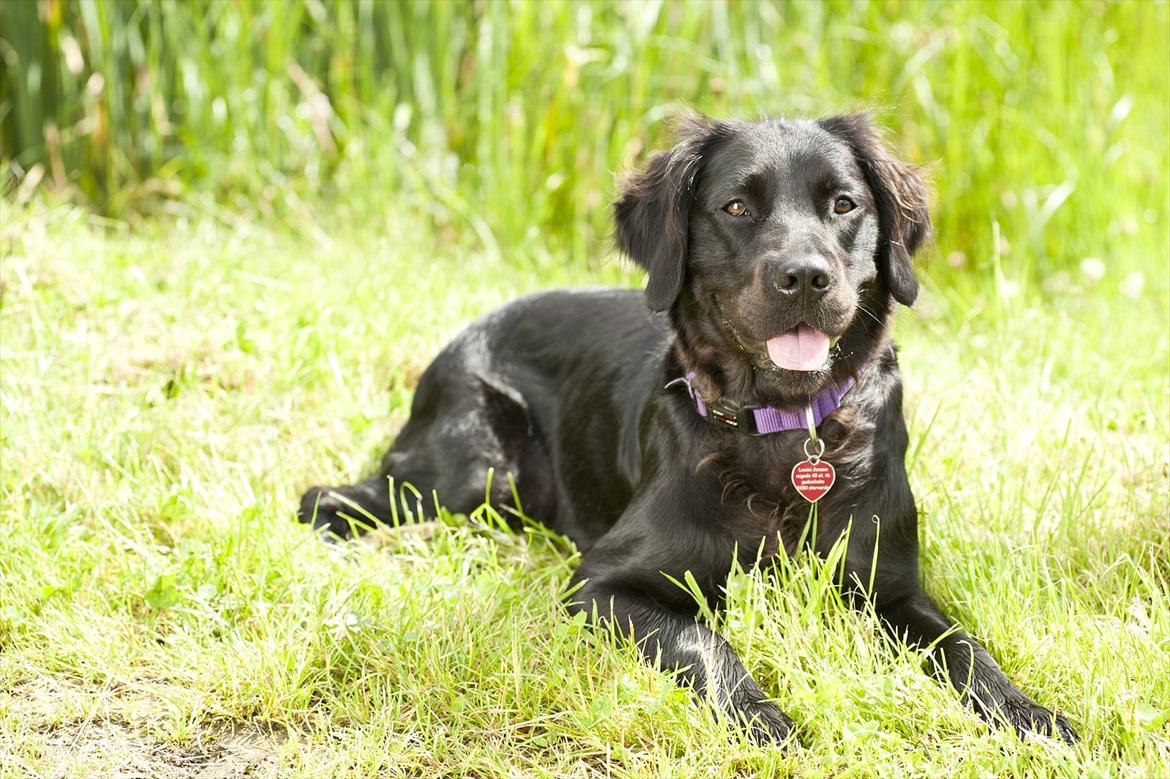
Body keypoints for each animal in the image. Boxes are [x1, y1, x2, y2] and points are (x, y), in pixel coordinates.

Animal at [301, 112, 1076, 743]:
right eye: (736, 206)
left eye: (844, 204)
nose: (805, 277)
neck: (780, 432)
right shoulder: (601, 585)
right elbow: (703, 639)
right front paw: (763, 717)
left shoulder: (890, 586)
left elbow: (964, 648)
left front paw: (1031, 715)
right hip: (472, 466)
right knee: (332, 497)